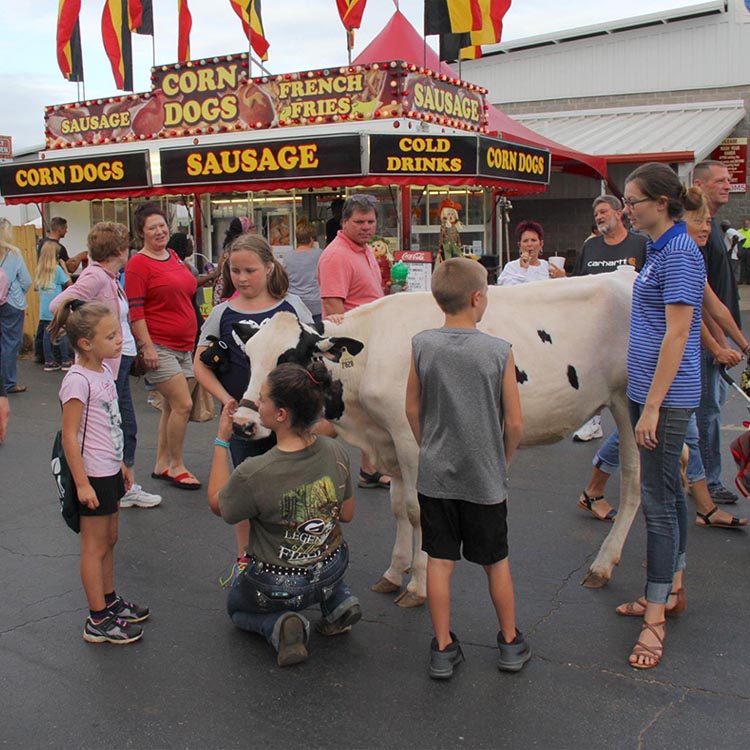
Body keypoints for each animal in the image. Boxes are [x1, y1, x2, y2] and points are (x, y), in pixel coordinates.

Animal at [234, 274, 640, 608]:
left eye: (289, 359)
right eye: (249, 357)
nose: (242, 423)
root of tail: (627, 273)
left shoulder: (411, 440)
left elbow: (418, 511)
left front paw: (418, 585)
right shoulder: (389, 441)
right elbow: (398, 507)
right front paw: (394, 573)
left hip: (630, 406)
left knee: (635, 484)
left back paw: (605, 565)